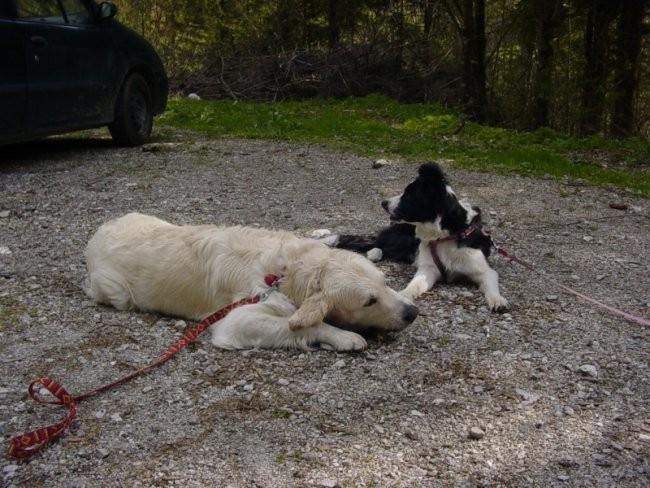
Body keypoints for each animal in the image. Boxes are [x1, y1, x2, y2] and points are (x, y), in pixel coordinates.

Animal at [83, 214, 418, 350]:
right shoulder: (237, 319)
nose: (413, 313)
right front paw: (344, 337)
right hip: (117, 291)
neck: (286, 270)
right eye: (369, 301)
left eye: (385, 282)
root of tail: (100, 230)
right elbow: (305, 324)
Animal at [326, 162, 504, 310]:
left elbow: (490, 283)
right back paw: (374, 253)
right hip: (402, 239)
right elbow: (415, 284)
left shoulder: (483, 270)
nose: (383, 203)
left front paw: (497, 300)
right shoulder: (429, 268)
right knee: (378, 243)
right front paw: (403, 295)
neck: (447, 234)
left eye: (408, 194)